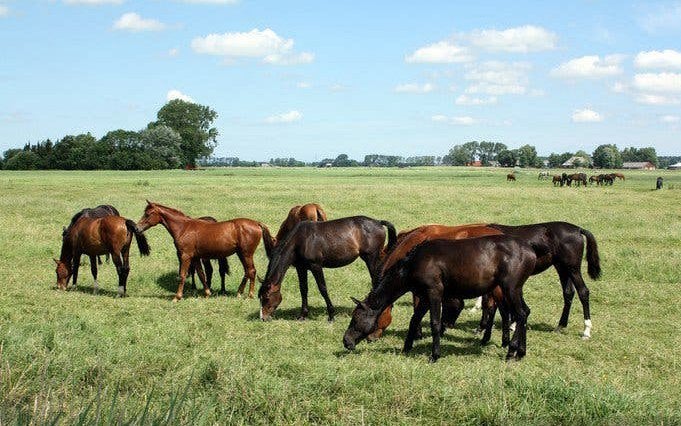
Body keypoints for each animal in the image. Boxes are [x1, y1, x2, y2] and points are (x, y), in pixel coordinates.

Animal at [136, 201, 271, 301]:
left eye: (148, 214)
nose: (137, 228)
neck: (183, 228)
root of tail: (257, 223)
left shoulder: (186, 256)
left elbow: (183, 275)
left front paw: (177, 297)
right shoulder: (195, 257)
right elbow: (201, 274)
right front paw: (207, 293)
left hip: (246, 253)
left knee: (251, 271)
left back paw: (250, 295)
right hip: (241, 253)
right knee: (248, 271)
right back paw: (239, 293)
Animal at [258, 216, 397, 322]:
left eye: (266, 298)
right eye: (260, 298)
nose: (263, 318)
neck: (301, 240)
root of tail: (378, 222)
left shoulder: (316, 266)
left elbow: (322, 289)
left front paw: (331, 315)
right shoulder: (301, 268)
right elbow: (303, 289)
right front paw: (303, 315)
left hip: (371, 258)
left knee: (376, 280)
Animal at [343, 235, 537, 362]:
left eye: (356, 319)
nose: (346, 341)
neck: (414, 263)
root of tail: (530, 251)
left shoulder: (434, 293)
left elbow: (435, 323)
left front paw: (434, 355)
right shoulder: (424, 297)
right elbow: (414, 320)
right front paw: (406, 348)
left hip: (510, 289)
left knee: (520, 314)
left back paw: (511, 351)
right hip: (515, 290)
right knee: (525, 312)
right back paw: (521, 352)